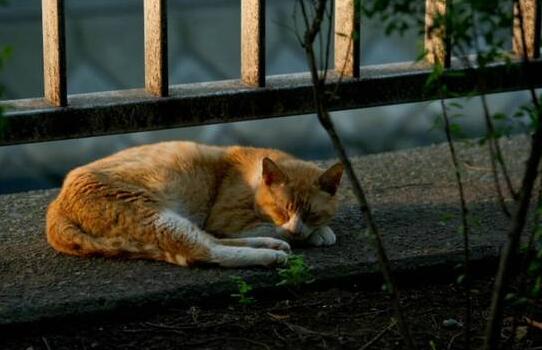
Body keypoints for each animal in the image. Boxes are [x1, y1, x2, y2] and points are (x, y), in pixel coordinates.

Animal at [46, 141, 344, 266]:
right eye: (281, 210)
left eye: (312, 214)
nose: (297, 230)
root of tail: (54, 209)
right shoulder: (225, 218)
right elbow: (272, 228)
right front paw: (312, 235)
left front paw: (319, 230)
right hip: (156, 216)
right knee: (205, 251)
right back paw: (269, 255)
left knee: (208, 241)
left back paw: (270, 245)